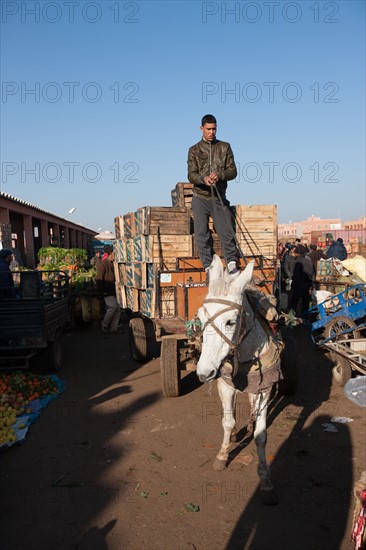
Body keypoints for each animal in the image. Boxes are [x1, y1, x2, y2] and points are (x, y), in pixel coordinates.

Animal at [196, 256, 284, 506]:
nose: (203, 372)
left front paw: (265, 479)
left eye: (230, 321)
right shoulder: (225, 385)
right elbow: (227, 422)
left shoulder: (264, 388)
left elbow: (261, 436)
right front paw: (222, 456)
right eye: (200, 317)